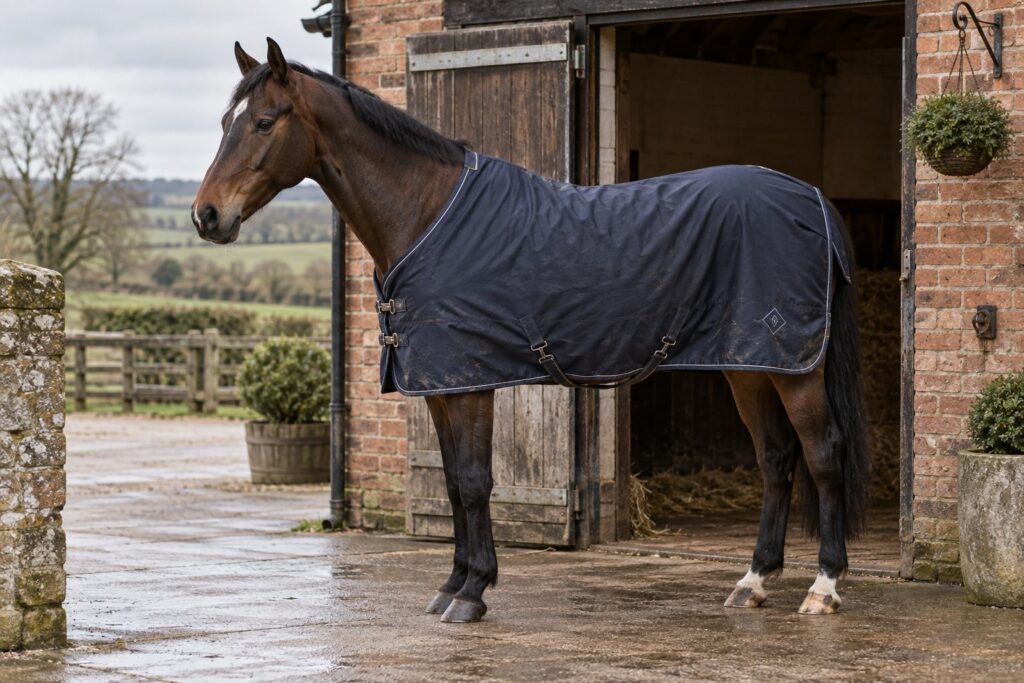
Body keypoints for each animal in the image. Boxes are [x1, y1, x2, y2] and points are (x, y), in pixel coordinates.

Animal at [193, 38, 869, 623]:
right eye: (225, 121)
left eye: (265, 122)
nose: (206, 216)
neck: (429, 215)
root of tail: (812, 200)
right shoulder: (440, 388)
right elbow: (452, 485)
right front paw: (451, 586)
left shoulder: (469, 384)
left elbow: (473, 483)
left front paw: (473, 594)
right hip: (750, 363)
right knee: (776, 458)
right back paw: (753, 582)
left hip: (794, 367)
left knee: (822, 453)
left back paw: (824, 587)